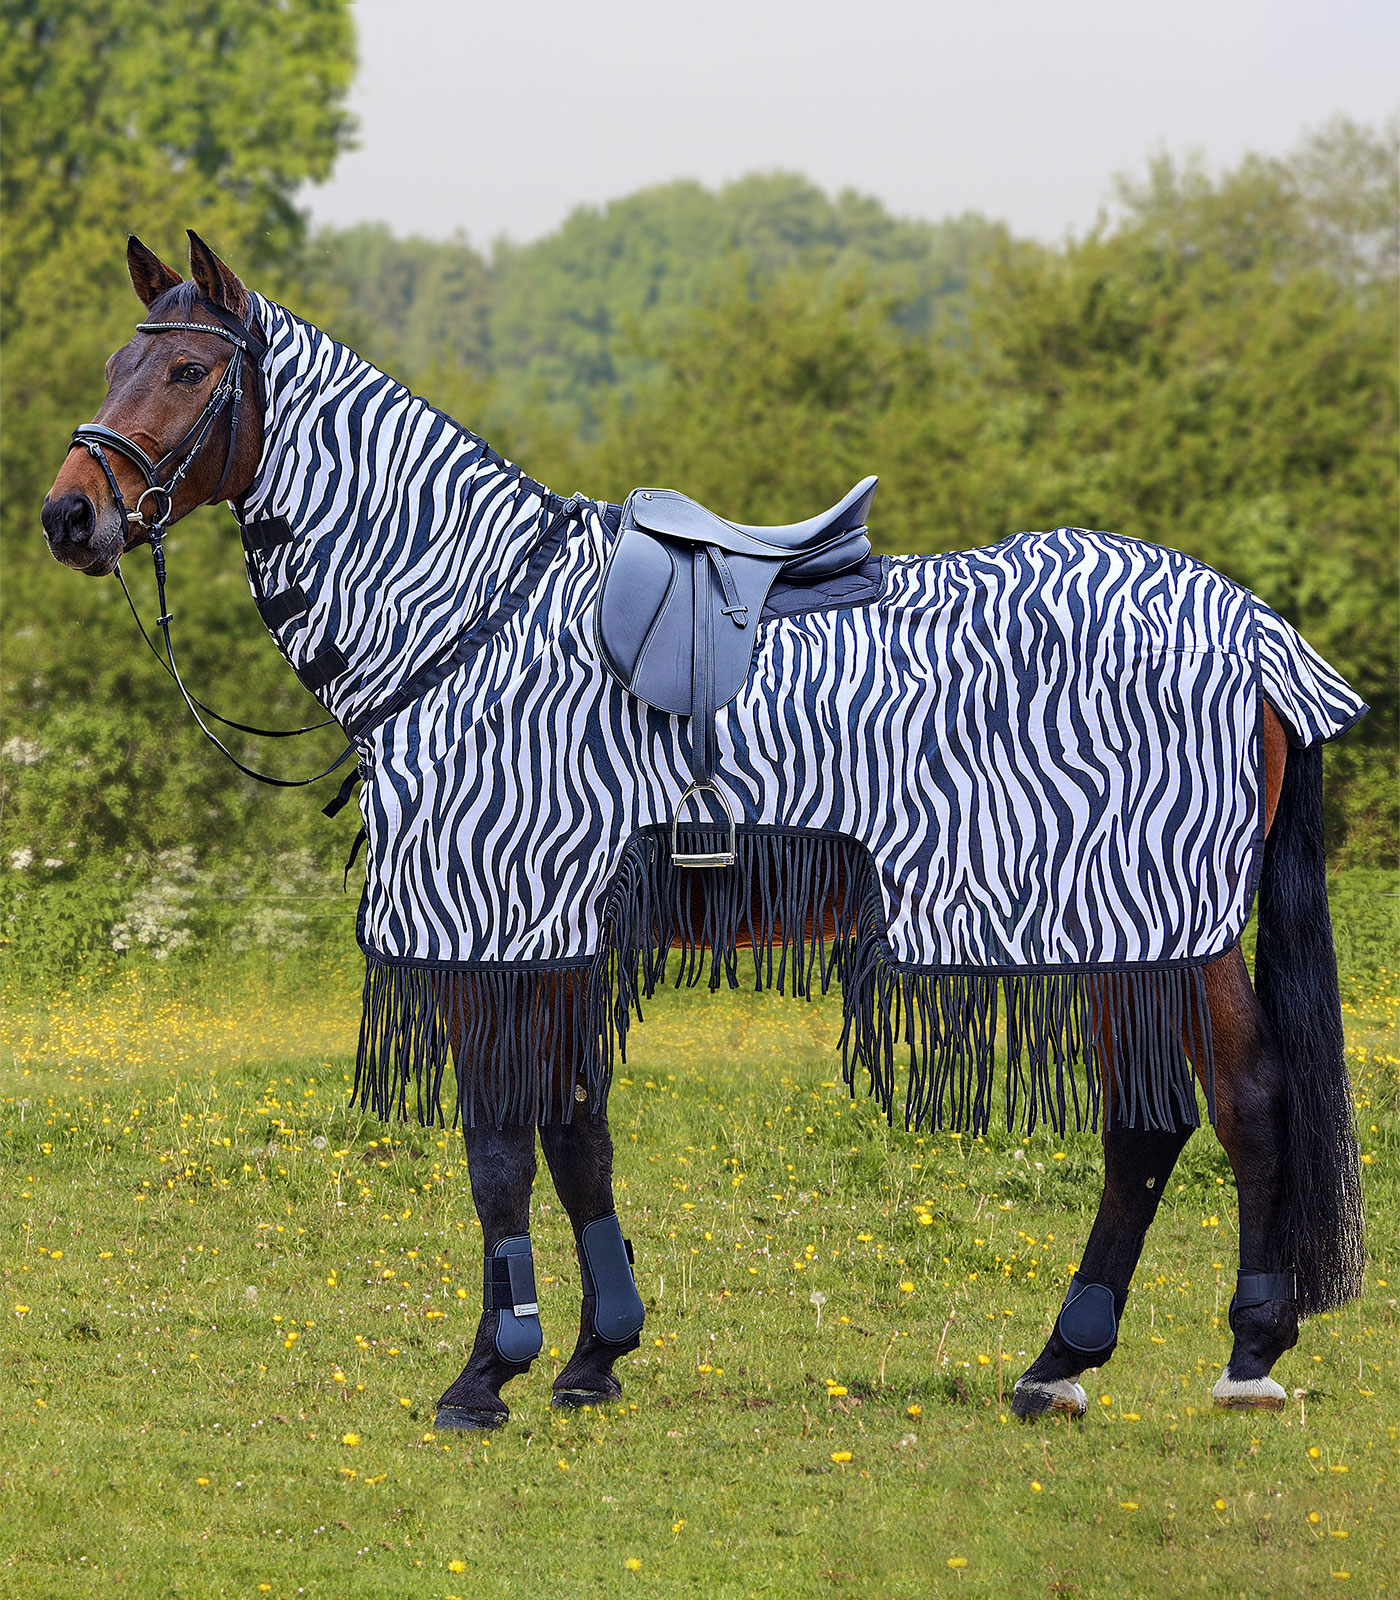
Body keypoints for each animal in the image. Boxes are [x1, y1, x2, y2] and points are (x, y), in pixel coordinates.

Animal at [43, 232, 1369, 1433]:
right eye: (115, 359)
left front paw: (486, 1374)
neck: (468, 616)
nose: (68, 515)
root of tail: (1253, 628)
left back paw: (1246, 1351)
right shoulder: (554, 927)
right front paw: (593, 1356)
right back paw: (1059, 1363)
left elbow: (497, 1147)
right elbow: (576, 1132)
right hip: (1113, 927)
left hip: (1162, 921)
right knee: (1150, 1123)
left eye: (183, 372)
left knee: (1242, 1101)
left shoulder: (496, 918)